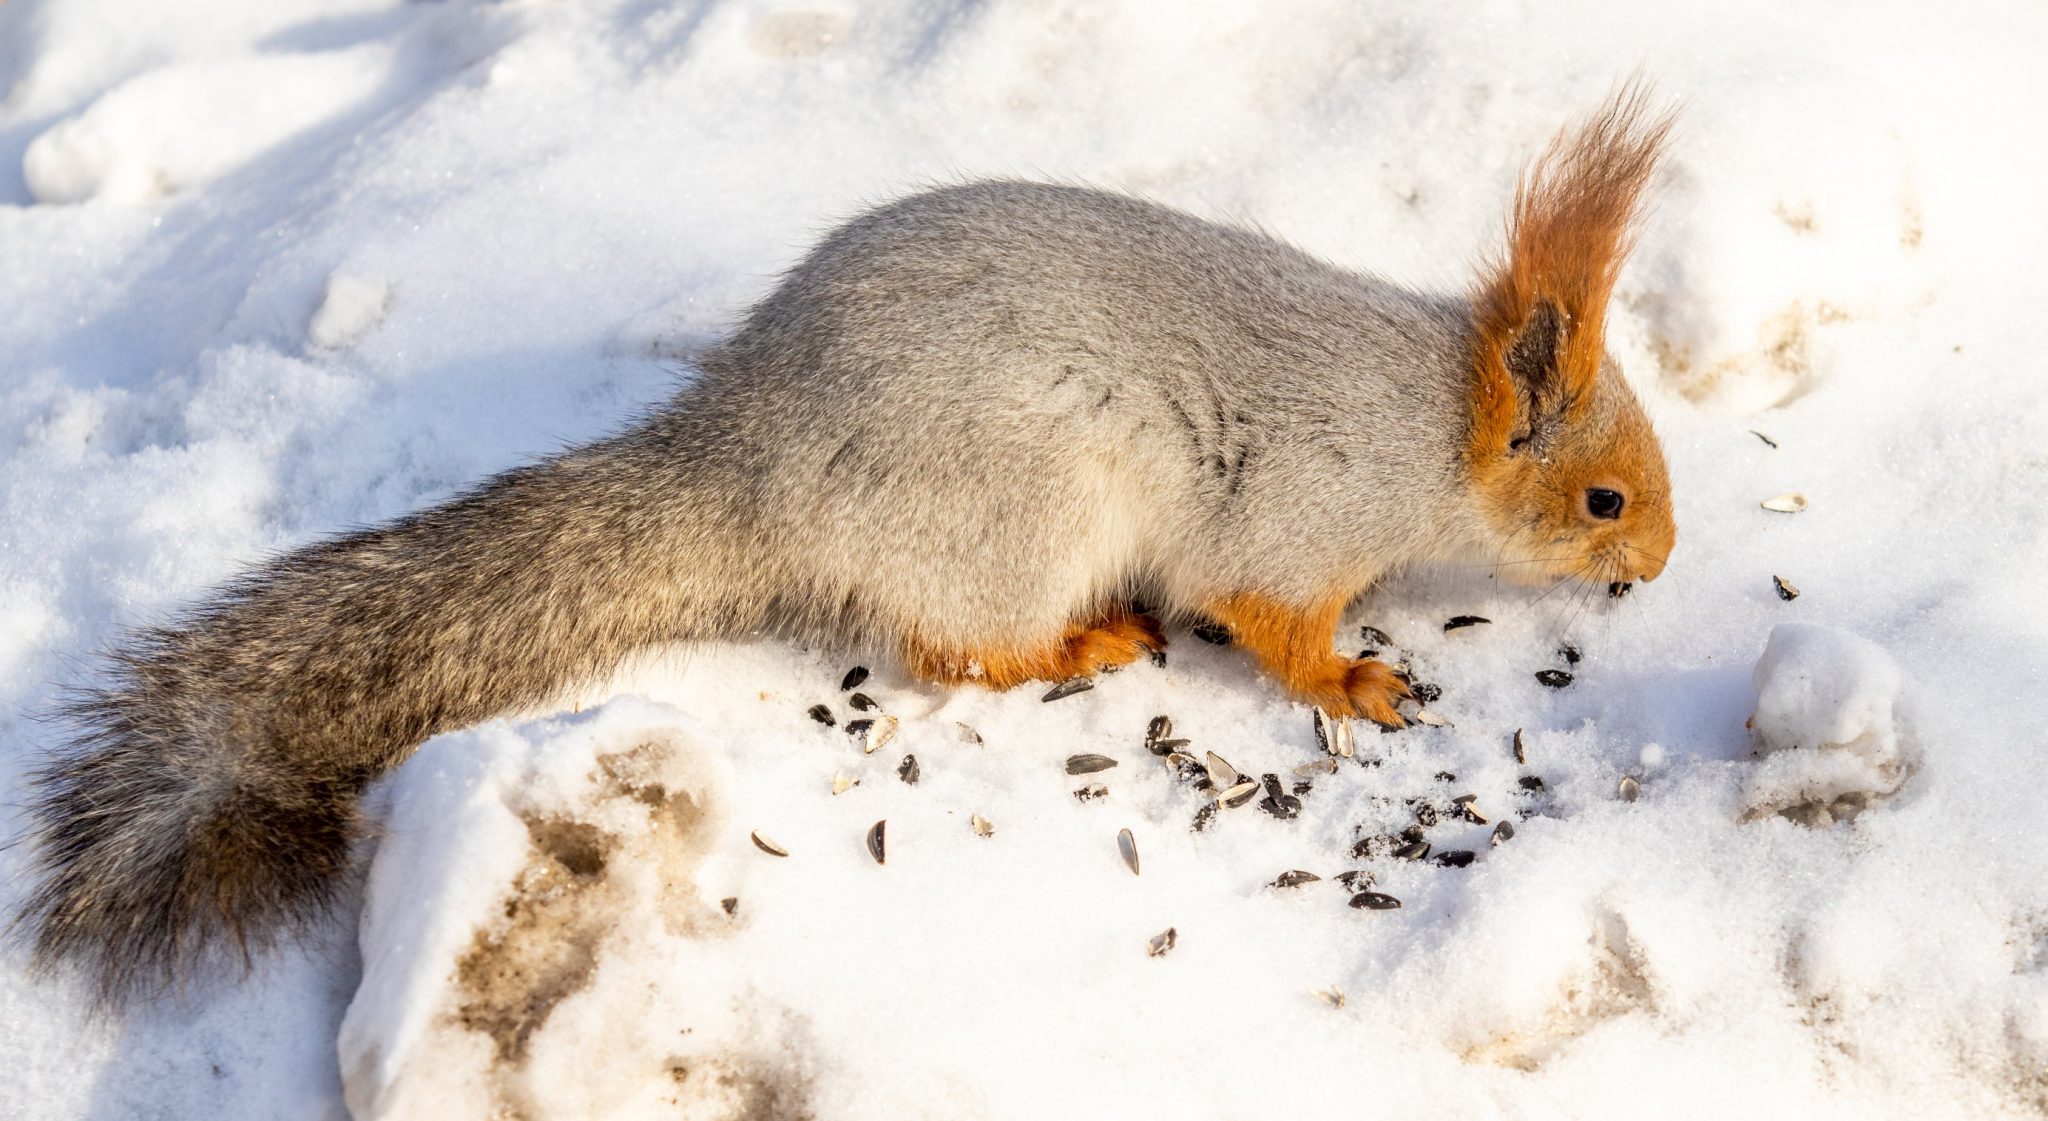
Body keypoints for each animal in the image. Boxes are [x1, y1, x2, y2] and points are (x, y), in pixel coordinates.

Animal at [19, 85, 1679, 1000]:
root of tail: (757, 463)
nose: (1660, 567)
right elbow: (1266, 615)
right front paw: (1355, 683)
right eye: (1605, 499)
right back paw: (1083, 636)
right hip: (1021, 517)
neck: (1428, 429)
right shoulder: (1294, 514)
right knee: (950, 643)